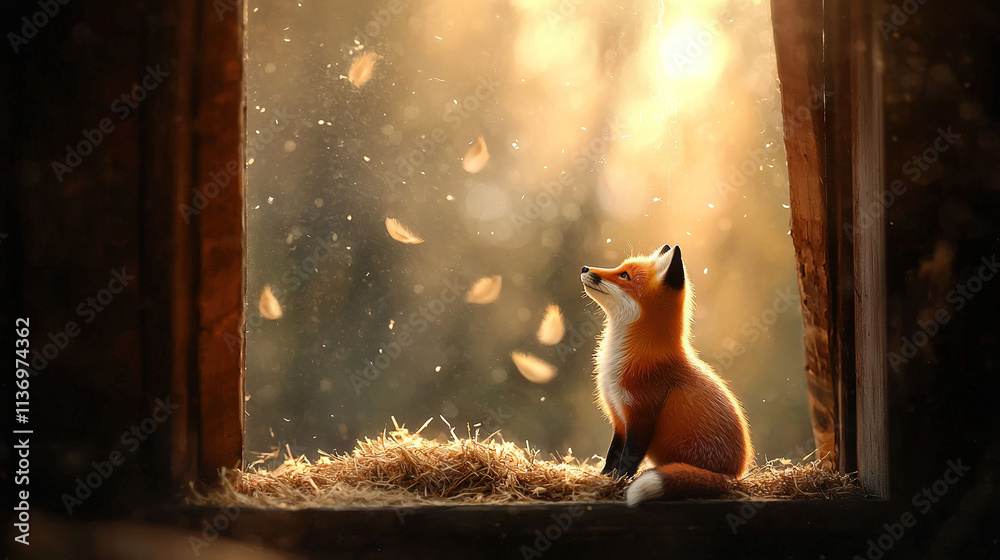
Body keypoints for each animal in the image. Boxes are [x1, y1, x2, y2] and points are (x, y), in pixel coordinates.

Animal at [581, 244, 752, 505]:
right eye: (621, 267)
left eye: (625, 275)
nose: (584, 268)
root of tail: (732, 476)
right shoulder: (619, 416)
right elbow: (612, 455)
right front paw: (604, 479)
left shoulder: (641, 415)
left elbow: (628, 459)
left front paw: (619, 484)